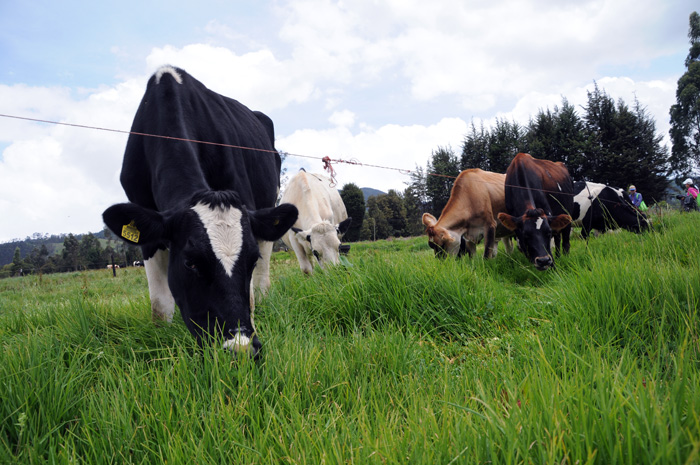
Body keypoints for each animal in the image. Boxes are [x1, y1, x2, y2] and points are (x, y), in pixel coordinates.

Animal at [102, 65, 298, 356]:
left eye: (251, 260)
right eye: (191, 263)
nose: (241, 350)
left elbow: (249, 297)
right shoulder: (148, 233)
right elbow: (160, 307)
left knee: (262, 278)